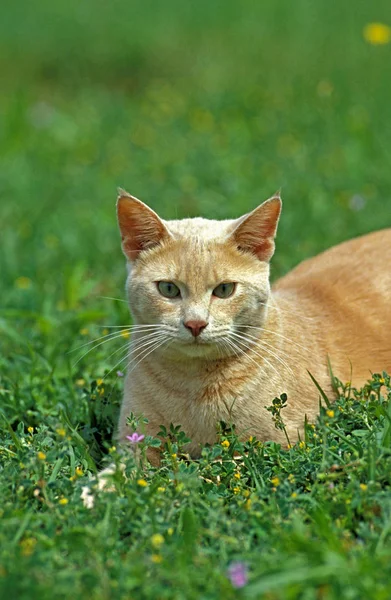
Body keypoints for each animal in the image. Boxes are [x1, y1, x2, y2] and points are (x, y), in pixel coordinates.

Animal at [115, 190, 390, 462]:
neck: (192, 387)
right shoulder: (133, 442)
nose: (195, 323)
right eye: (168, 289)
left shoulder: (271, 446)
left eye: (224, 290)